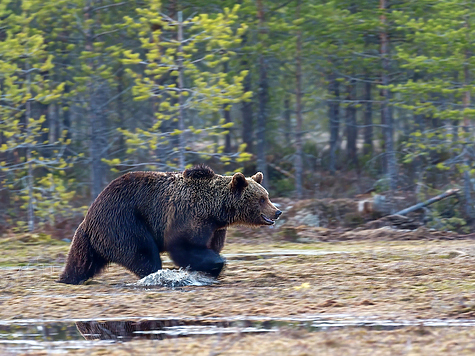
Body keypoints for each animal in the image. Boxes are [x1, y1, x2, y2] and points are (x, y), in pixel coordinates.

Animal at [59, 165, 282, 286]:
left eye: (267, 195)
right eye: (262, 198)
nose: (277, 211)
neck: (216, 211)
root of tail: (90, 213)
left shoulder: (215, 228)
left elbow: (209, 246)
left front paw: (208, 270)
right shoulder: (188, 215)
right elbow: (184, 246)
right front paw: (213, 265)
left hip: (95, 237)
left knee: (82, 260)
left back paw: (68, 278)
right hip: (123, 221)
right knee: (142, 251)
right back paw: (156, 274)